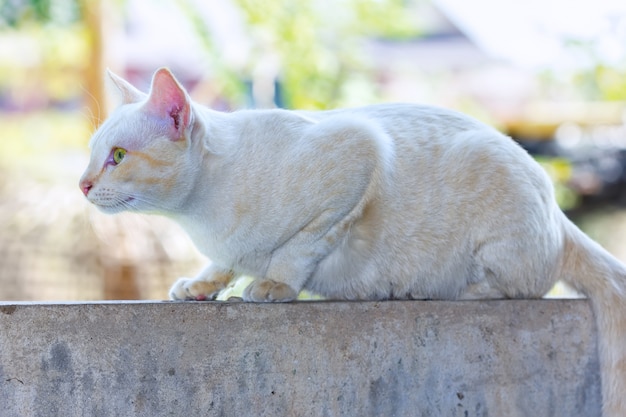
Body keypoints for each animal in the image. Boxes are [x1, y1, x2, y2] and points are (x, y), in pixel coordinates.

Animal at [80, 67, 620, 412]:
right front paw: (201, 286)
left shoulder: (356, 156)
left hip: (493, 212)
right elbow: (224, 265)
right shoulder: (230, 247)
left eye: (118, 156)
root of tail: (559, 213)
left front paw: (273, 287)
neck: (199, 219)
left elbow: (296, 251)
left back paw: (435, 291)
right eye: (91, 154)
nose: (81, 184)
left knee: (522, 286)